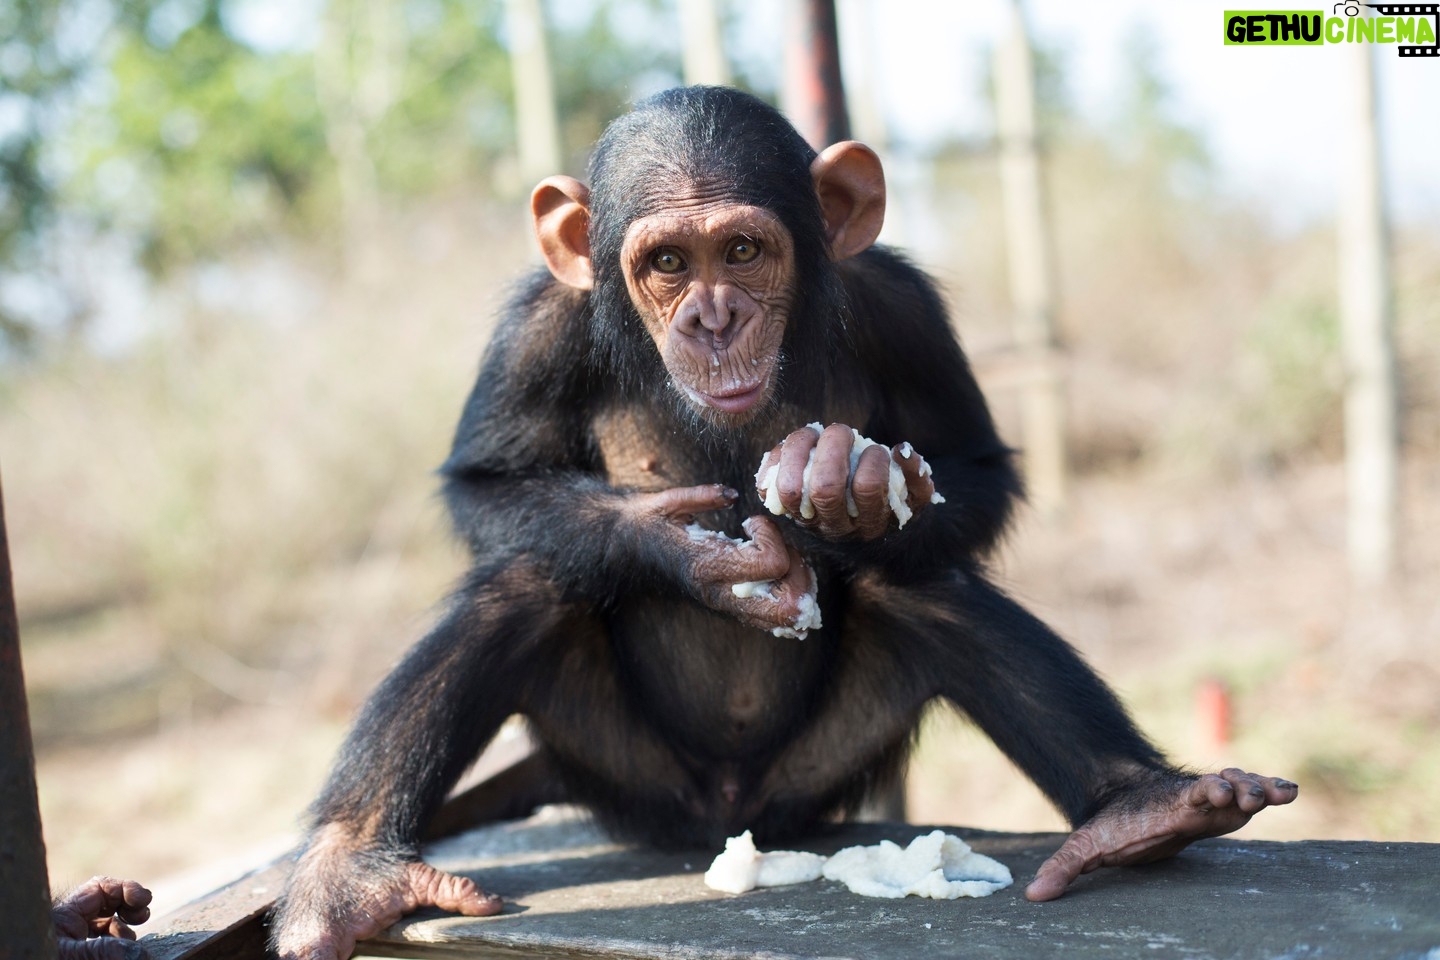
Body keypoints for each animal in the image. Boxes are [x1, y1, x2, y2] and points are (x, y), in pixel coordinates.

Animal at [270, 86, 1297, 960]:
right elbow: (487, 480)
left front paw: (851, 491)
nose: (714, 319)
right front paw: (676, 549)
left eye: (743, 253)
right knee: (525, 577)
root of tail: (728, 814)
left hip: (819, 771)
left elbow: (975, 465)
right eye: (668, 263)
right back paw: (349, 874)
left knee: (920, 582)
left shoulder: (901, 306)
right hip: (630, 777)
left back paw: (1148, 807)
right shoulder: (536, 326)